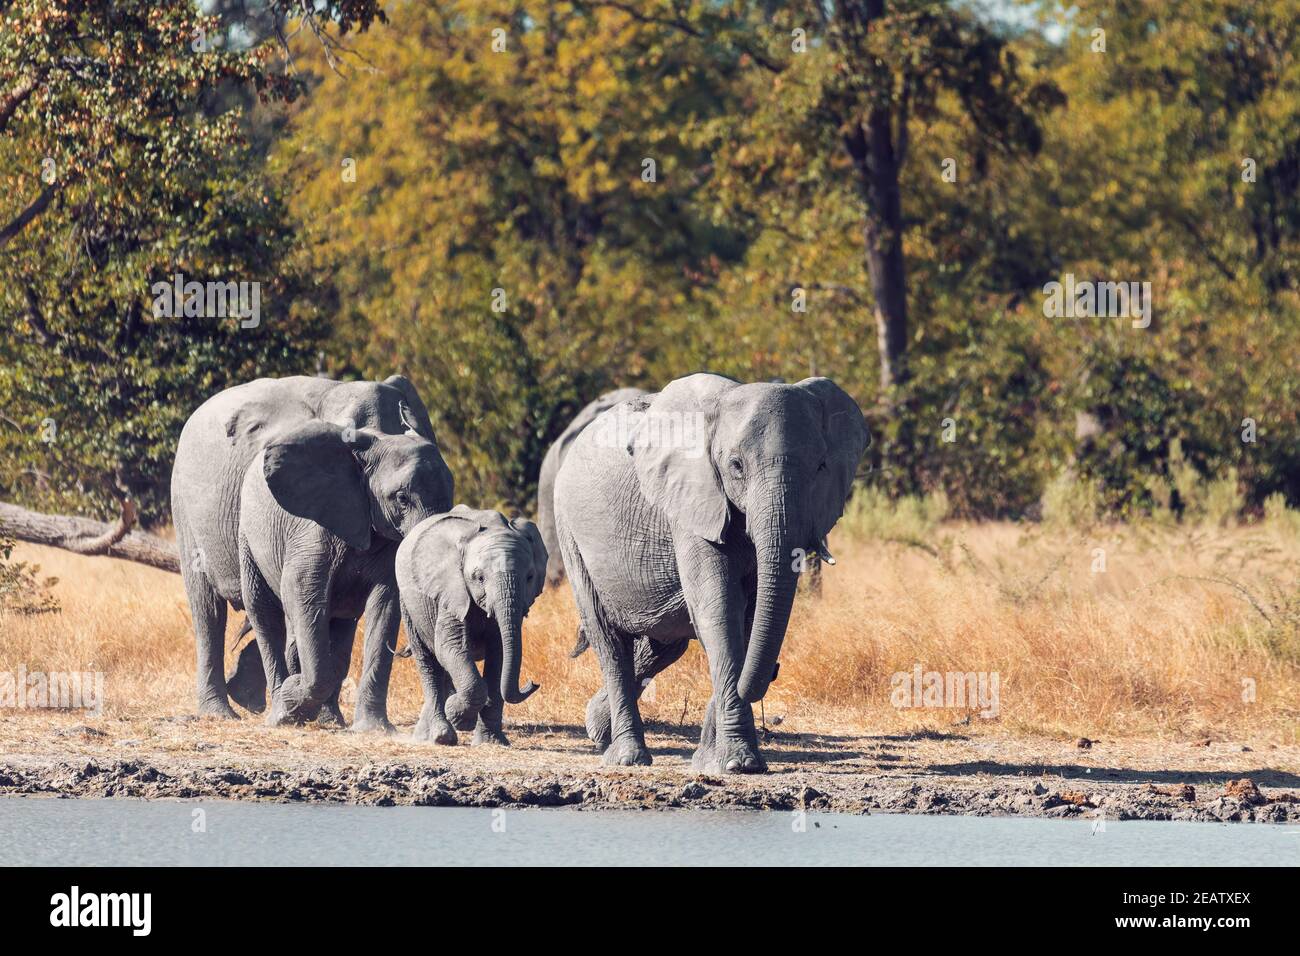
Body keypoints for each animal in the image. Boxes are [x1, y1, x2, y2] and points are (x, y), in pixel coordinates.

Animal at [171, 377, 457, 728]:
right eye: (401, 498)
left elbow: (385, 603)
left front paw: (372, 728)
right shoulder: (305, 523)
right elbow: (301, 592)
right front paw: (292, 700)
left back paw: (326, 718)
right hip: (192, 511)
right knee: (218, 611)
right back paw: (232, 713)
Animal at [390, 504, 543, 743]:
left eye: (529, 577)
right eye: (479, 578)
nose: (533, 683)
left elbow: (499, 656)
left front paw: (491, 742)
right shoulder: (451, 589)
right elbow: (450, 647)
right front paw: (460, 717)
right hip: (408, 603)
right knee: (428, 662)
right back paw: (441, 736)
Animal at [553, 374, 868, 770]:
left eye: (821, 468)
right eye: (736, 466)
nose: (774, 672)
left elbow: (747, 620)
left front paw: (710, 762)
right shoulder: (690, 503)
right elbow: (719, 609)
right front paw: (740, 764)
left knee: (661, 647)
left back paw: (597, 729)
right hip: (569, 531)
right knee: (610, 643)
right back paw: (627, 757)